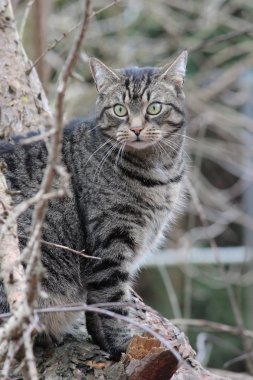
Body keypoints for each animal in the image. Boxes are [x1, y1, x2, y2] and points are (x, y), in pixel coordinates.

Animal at [0, 51, 188, 360]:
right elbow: (113, 304)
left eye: (155, 107)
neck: (158, 173)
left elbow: (95, 308)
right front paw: (124, 349)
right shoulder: (110, 244)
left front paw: (103, 343)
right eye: (120, 110)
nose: (136, 128)